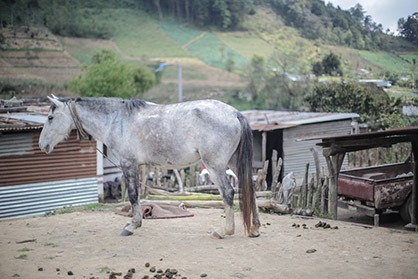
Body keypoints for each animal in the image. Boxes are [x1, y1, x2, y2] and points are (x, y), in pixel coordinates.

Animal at [40, 96, 262, 238]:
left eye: (50, 118)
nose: (42, 145)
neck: (117, 120)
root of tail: (234, 113)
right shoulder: (137, 167)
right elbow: (137, 195)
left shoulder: (128, 164)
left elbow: (132, 195)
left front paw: (132, 225)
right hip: (233, 163)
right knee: (249, 188)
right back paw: (255, 228)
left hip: (215, 166)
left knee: (228, 193)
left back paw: (224, 231)